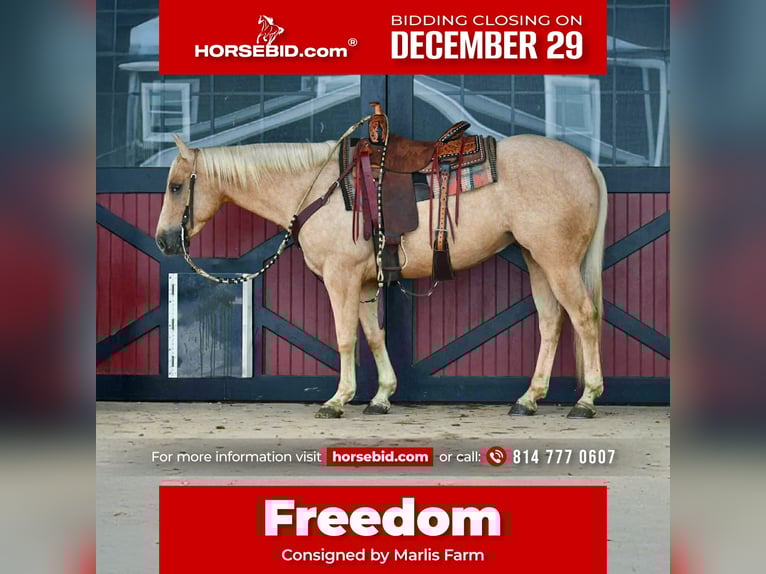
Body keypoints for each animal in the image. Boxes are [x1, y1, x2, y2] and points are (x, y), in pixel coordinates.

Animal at [155, 131, 608, 420]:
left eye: (176, 186)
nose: (163, 240)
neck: (318, 187)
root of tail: (586, 163)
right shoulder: (364, 282)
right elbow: (373, 336)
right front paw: (382, 396)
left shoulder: (340, 277)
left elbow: (345, 338)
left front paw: (338, 400)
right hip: (537, 259)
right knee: (551, 322)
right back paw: (528, 399)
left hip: (557, 261)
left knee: (585, 318)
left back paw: (586, 400)